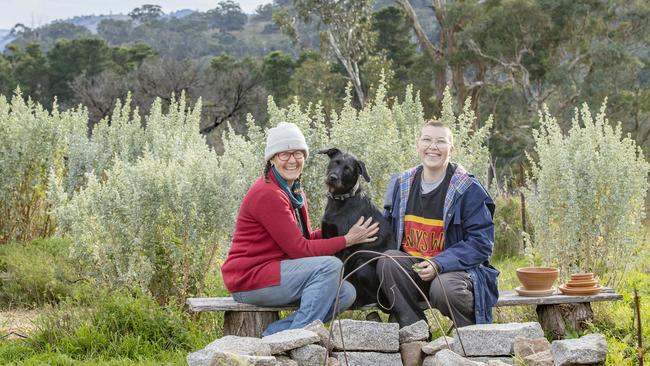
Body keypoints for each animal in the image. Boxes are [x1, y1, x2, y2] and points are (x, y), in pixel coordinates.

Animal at [316, 147, 392, 306]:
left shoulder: (346, 247)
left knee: (376, 298)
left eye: (348, 169)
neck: (340, 201)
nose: (333, 177)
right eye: (335, 162)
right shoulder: (327, 237)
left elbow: (341, 273)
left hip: (362, 264)